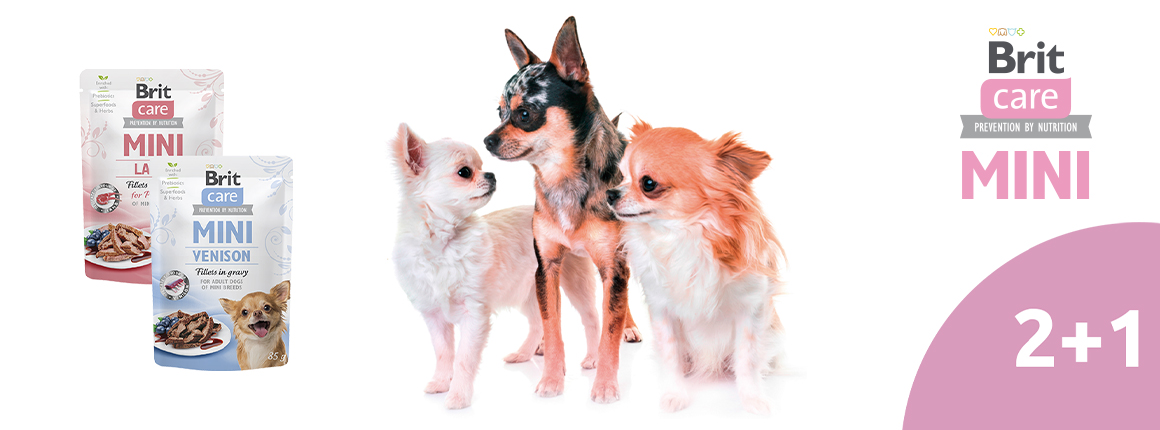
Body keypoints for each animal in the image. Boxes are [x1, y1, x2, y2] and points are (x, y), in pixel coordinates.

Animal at [390, 123, 604, 409]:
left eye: (481, 166)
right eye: (465, 172)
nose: (491, 174)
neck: (443, 244)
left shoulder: (474, 315)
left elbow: (464, 359)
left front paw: (458, 396)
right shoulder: (434, 316)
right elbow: (444, 353)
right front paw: (441, 383)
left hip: (574, 282)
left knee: (591, 318)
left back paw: (593, 358)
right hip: (532, 291)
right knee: (538, 324)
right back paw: (524, 354)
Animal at [485, 16, 642, 403]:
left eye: (525, 113)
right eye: (499, 112)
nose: (487, 140)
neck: (564, 180)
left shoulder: (612, 266)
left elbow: (609, 331)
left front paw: (605, 384)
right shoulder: (548, 267)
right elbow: (552, 324)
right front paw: (552, 380)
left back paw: (629, 326)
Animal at [608, 121, 785, 414]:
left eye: (648, 184)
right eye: (620, 176)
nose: (609, 193)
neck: (684, 236)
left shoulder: (752, 309)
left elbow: (747, 360)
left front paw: (752, 399)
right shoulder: (662, 310)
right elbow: (671, 356)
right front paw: (674, 394)